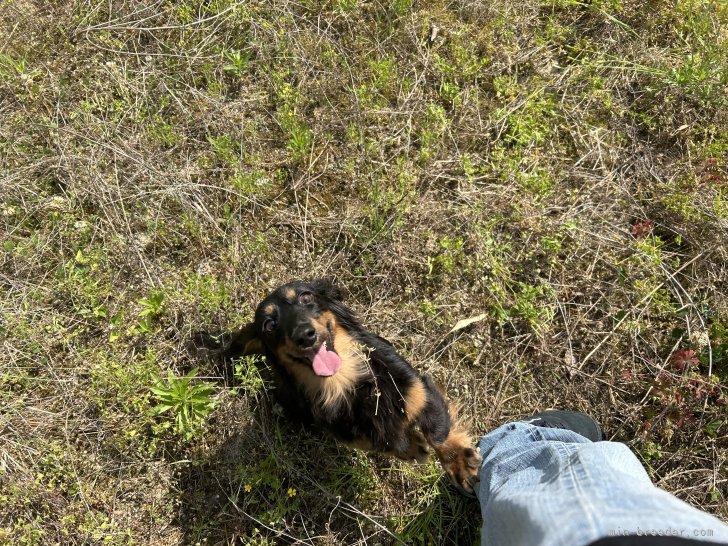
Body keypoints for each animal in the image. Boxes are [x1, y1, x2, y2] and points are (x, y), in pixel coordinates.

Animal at [198, 278, 484, 490]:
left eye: (305, 298)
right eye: (269, 325)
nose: (304, 335)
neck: (346, 383)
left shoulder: (418, 389)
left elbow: (437, 432)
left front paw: (460, 465)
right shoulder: (351, 433)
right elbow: (390, 443)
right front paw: (412, 446)